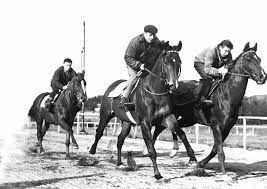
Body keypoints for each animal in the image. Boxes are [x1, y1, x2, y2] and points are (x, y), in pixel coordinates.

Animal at [90, 41, 184, 180]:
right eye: (166, 62)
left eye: (179, 62)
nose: (174, 85)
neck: (155, 92)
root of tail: (111, 86)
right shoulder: (145, 123)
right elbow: (151, 150)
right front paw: (157, 174)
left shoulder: (167, 117)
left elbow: (178, 132)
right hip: (105, 114)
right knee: (99, 132)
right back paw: (92, 151)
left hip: (127, 122)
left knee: (120, 139)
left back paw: (119, 163)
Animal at [153, 42, 267, 175]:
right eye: (248, 59)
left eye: (259, 59)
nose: (263, 77)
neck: (227, 95)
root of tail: (170, 87)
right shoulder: (216, 125)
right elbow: (220, 151)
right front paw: (224, 175)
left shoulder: (227, 128)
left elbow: (215, 149)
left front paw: (200, 164)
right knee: (162, 128)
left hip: (188, 119)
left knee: (171, 128)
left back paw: (173, 150)